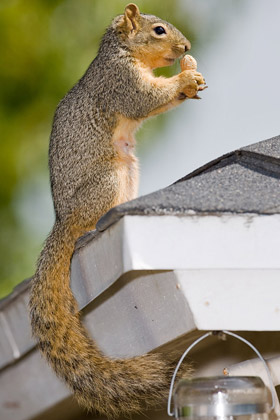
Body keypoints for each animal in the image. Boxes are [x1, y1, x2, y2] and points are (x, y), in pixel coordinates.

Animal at [29, 2, 207, 416]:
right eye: (158, 30)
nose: (187, 46)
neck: (122, 52)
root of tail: (63, 221)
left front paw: (191, 79)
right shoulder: (120, 81)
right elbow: (144, 98)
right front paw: (185, 78)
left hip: (128, 171)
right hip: (109, 177)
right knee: (87, 222)